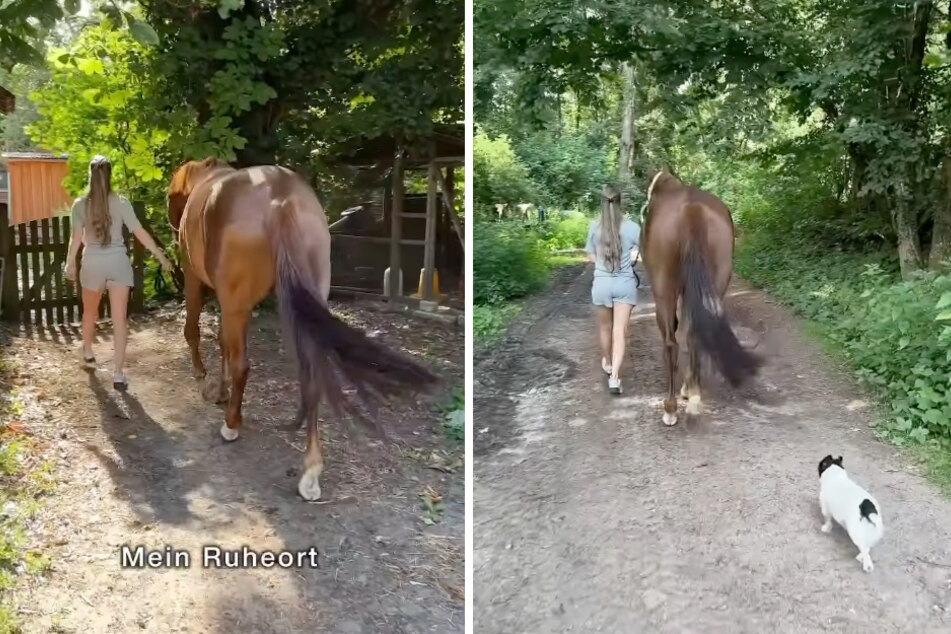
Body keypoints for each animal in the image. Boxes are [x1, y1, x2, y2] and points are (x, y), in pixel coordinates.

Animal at [169, 157, 436, 498]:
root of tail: (279, 197)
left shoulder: (198, 282)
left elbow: (196, 331)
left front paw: (207, 383)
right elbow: (222, 343)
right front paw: (220, 389)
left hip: (236, 302)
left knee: (243, 364)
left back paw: (231, 425)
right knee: (312, 377)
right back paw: (311, 471)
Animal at [644, 169, 764, 424]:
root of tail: (692, 209)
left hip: (664, 289)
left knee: (671, 342)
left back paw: (670, 407)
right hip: (717, 281)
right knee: (694, 334)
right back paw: (693, 394)